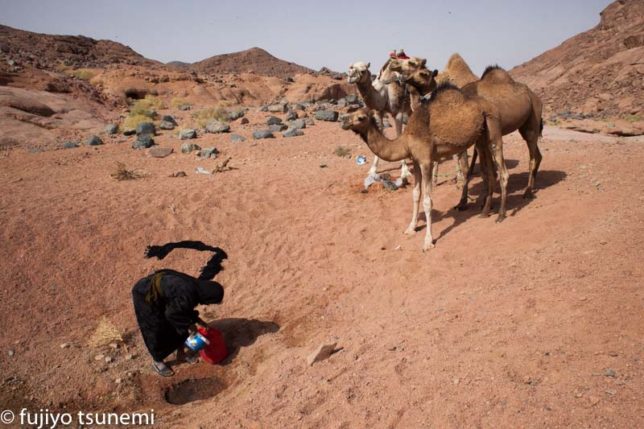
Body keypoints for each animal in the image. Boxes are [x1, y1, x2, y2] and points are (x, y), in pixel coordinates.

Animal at [340, 83, 510, 249]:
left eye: (361, 117)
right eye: (351, 113)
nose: (343, 122)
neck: (406, 141)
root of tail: (491, 104)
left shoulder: (426, 161)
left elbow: (428, 201)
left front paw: (428, 241)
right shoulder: (416, 161)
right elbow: (415, 194)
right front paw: (411, 228)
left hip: (493, 125)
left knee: (502, 171)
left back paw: (501, 215)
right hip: (481, 136)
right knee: (490, 170)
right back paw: (486, 211)